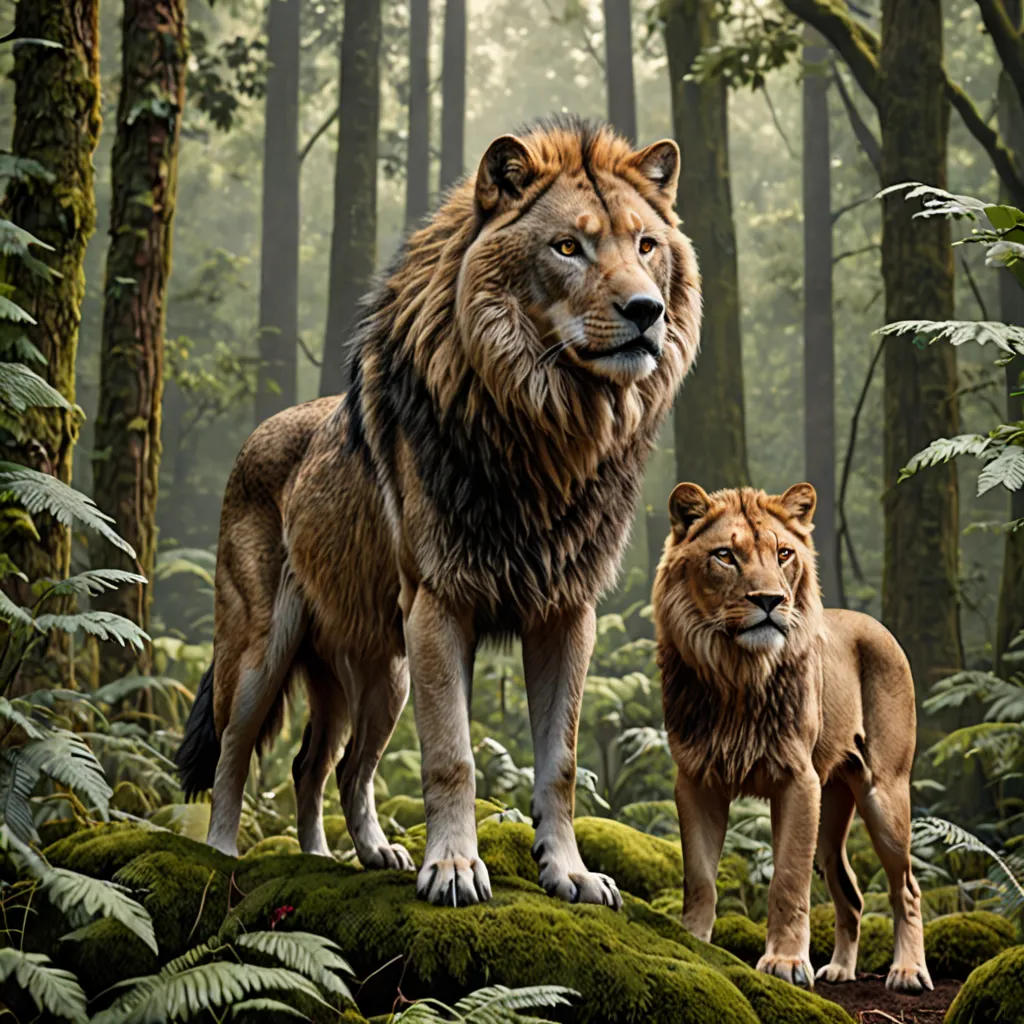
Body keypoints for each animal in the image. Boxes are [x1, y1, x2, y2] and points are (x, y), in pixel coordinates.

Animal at [175, 116, 702, 908]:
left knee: (324, 765)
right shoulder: (439, 607)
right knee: (235, 755)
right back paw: (221, 855)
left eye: (645, 245)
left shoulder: (566, 615)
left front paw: (570, 874)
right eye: (567, 247)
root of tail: (260, 432)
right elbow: (453, 756)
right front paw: (454, 868)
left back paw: (343, 858)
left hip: (379, 677)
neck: (550, 432)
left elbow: (560, 764)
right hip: (262, 653)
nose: (647, 312)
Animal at [652, 482, 931, 993]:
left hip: (885, 795)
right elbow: (699, 877)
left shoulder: (798, 781)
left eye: (783, 553)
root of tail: (873, 622)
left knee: (907, 887)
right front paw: (693, 946)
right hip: (832, 802)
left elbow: (788, 880)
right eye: (725, 556)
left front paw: (784, 962)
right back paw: (841, 969)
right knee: (851, 892)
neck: (738, 675)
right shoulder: (696, 781)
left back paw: (907, 970)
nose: (770, 600)